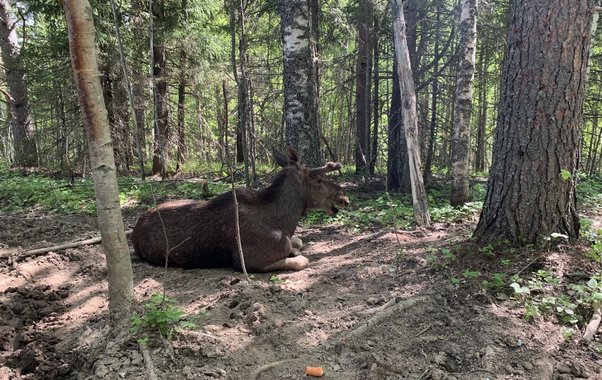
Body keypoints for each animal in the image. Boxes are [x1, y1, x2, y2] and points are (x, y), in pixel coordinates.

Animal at [131, 147, 346, 272]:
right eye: (318, 180)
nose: (343, 195)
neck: (284, 221)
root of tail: (134, 231)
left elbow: (299, 241)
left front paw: (295, 247)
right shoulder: (248, 261)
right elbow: (302, 260)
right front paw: (294, 252)